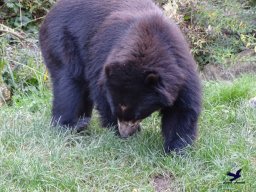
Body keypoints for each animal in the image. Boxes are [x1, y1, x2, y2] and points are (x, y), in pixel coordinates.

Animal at [39, 0, 202, 153]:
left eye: (137, 115)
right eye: (119, 110)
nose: (125, 133)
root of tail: (50, 12)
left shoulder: (181, 70)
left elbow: (183, 109)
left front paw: (176, 149)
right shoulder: (103, 58)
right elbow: (101, 95)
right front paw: (119, 131)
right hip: (61, 41)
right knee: (69, 85)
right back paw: (71, 126)